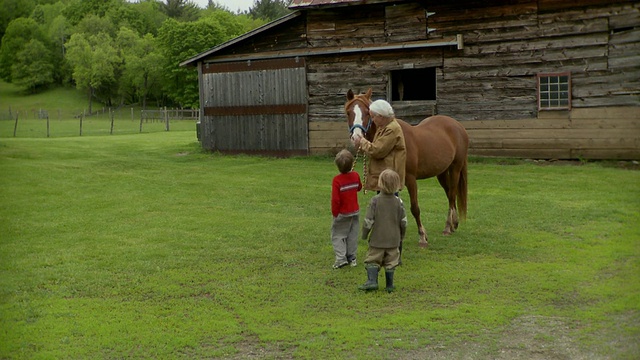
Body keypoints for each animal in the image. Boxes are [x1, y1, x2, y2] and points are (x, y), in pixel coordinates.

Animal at [344, 88, 470, 249]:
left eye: (367, 113)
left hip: (455, 168)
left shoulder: (410, 179)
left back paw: (448, 227)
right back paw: (454, 224)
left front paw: (422, 237)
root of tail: (458, 126)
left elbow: (415, 208)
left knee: (452, 194)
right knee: (449, 195)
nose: (357, 138)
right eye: (349, 112)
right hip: (441, 172)